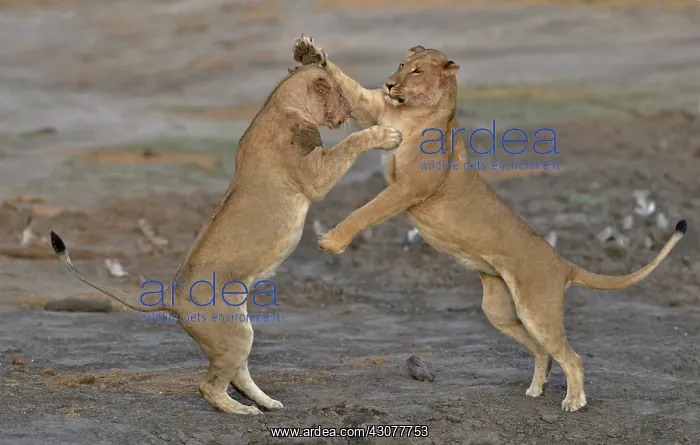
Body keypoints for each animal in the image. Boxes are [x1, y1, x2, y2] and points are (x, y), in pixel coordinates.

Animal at [49, 62, 402, 415]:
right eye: (341, 94)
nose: (350, 111)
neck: (278, 104)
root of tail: (172, 298)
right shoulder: (313, 175)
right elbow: (350, 144)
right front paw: (387, 135)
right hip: (232, 333)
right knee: (208, 386)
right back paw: (243, 410)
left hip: (235, 331)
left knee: (236, 375)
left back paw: (267, 403)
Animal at [292, 35, 688, 412]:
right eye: (402, 64)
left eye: (417, 71)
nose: (390, 84)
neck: (413, 111)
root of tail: (563, 263)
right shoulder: (376, 113)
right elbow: (347, 82)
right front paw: (309, 51)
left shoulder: (409, 189)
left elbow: (365, 211)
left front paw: (331, 242)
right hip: (499, 310)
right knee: (542, 350)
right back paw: (535, 390)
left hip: (536, 308)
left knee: (571, 356)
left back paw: (574, 402)